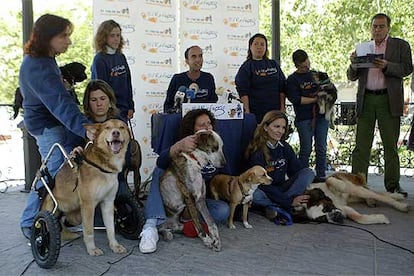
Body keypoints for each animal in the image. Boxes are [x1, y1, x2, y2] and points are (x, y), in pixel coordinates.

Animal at [41, 119, 129, 256]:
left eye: (122, 127)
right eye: (107, 128)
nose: (116, 133)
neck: (104, 167)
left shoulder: (108, 202)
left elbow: (111, 229)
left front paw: (114, 246)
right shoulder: (88, 205)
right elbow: (88, 231)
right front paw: (92, 249)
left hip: (74, 216)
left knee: (61, 224)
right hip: (51, 207)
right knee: (49, 224)